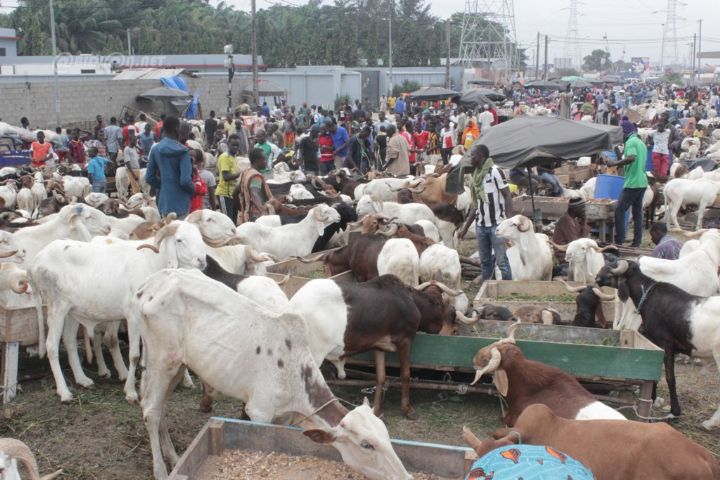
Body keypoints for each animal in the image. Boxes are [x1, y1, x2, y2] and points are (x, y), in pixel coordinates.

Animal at [592, 260, 720, 430]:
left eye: (611, 269)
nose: (597, 278)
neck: (649, 296)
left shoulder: (665, 344)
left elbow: (670, 378)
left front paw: (674, 411)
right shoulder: (655, 345)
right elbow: (654, 376)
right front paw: (653, 399)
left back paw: (710, 423)